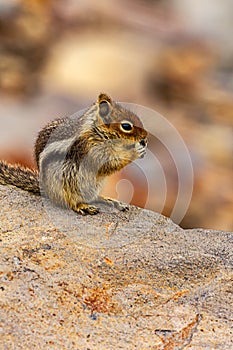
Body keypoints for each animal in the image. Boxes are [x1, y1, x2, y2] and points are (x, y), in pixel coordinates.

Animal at [0, 93, 147, 213]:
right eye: (126, 126)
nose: (145, 137)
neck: (96, 131)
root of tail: (45, 190)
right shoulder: (90, 149)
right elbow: (107, 164)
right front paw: (135, 151)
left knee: (93, 197)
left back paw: (109, 200)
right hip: (66, 183)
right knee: (70, 202)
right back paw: (82, 206)